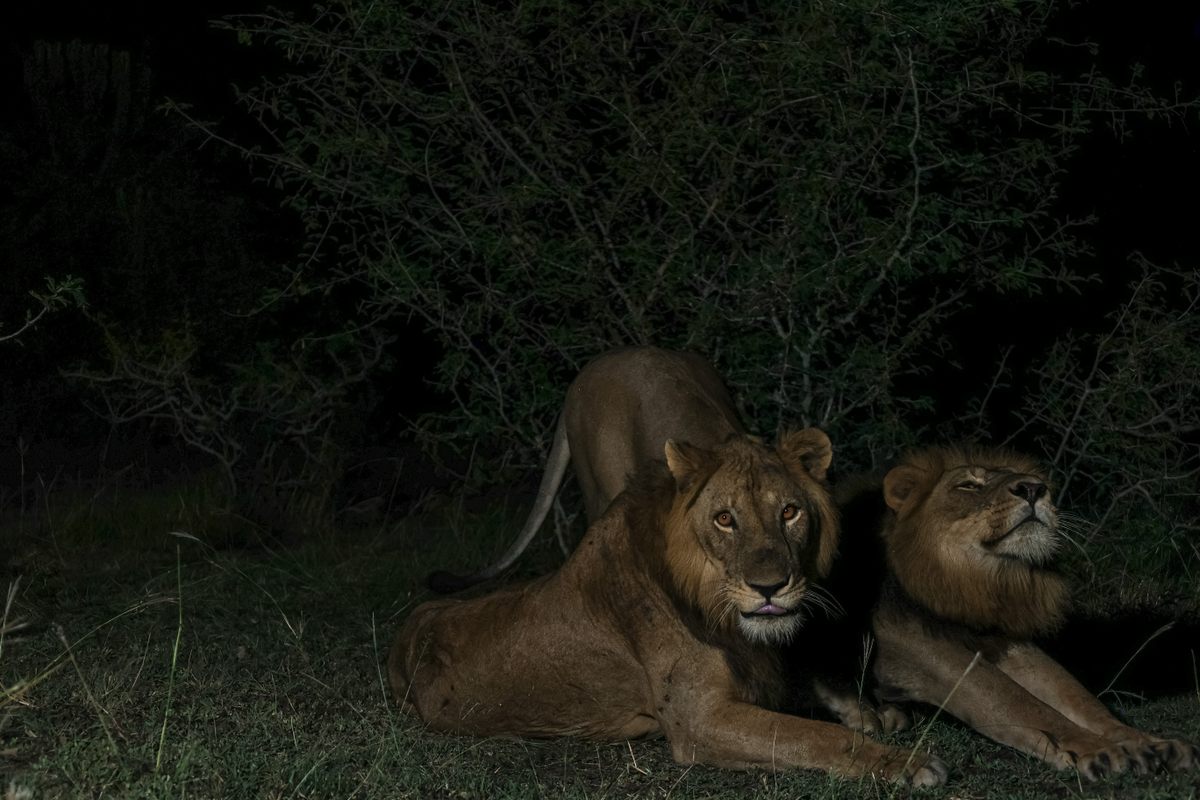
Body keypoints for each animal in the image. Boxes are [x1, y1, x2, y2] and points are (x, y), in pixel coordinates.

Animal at [391, 434, 945, 786]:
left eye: (789, 512)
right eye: (724, 519)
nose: (771, 588)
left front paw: (873, 712)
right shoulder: (698, 720)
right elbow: (810, 736)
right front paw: (906, 763)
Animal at [835, 450, 1200, 782]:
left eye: (1033, 481)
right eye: (969, 485)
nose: (1034, 488)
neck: (975, 582)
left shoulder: (1004, 641)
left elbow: (1078, 698)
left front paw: (1151, 744)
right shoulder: (917, 646)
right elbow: (1016, 701)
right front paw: (1101, 750)